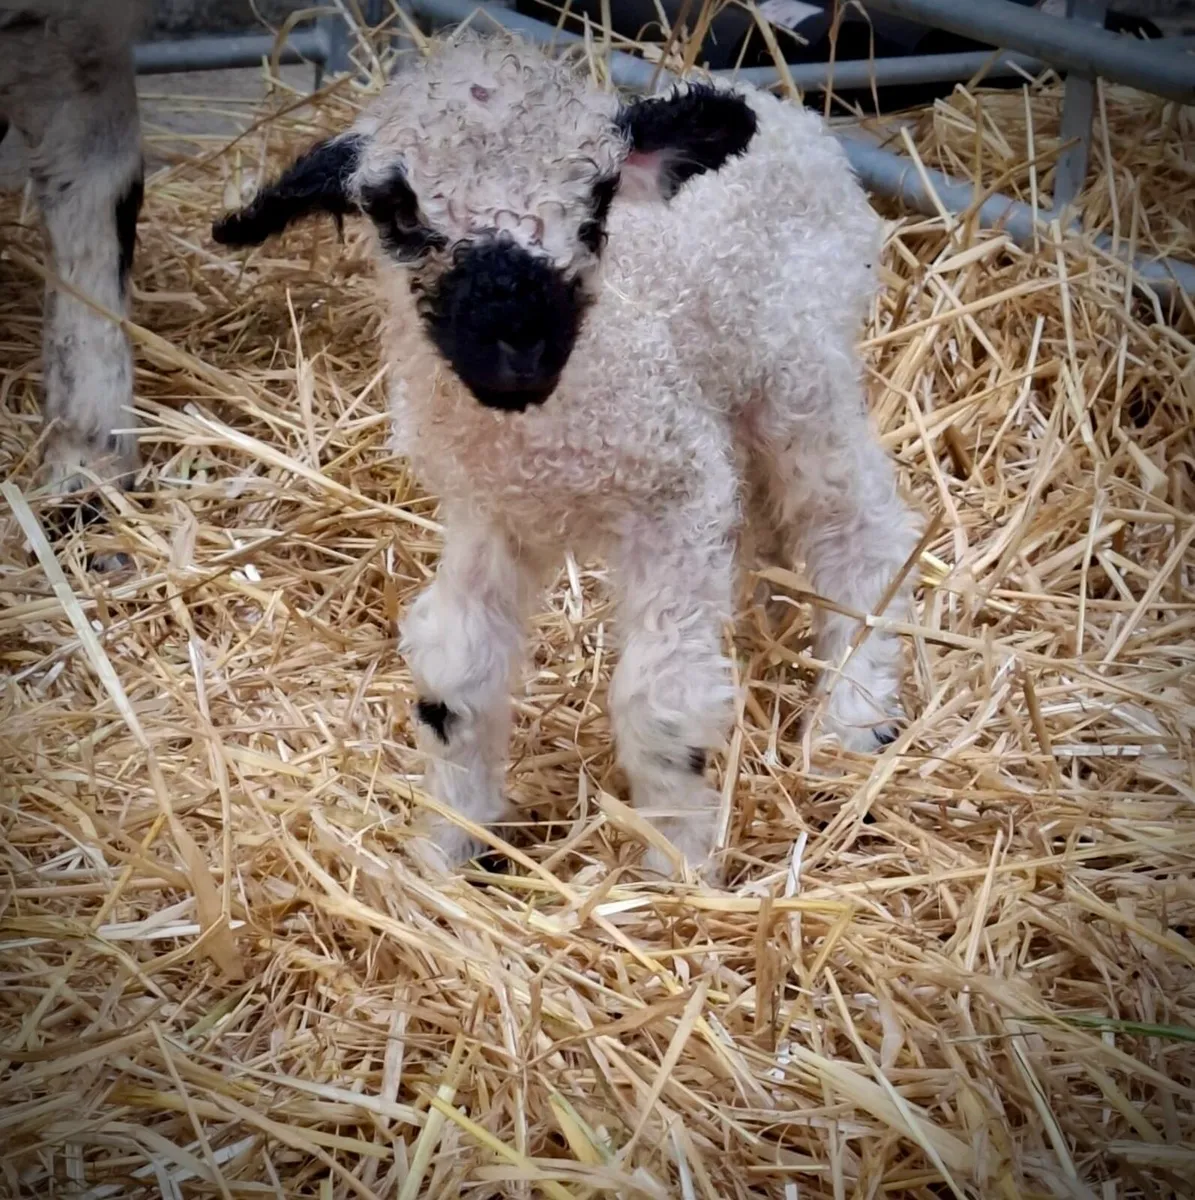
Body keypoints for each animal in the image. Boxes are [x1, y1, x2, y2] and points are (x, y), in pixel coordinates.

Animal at [211, 31, 922, 878]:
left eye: (599, 196)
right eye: (396, 207)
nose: (517, 340)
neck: (548, 439)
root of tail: (789, 113)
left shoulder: (675, 494)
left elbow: (661, 704)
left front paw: (678, 870)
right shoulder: (489, 513)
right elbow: (456, 680)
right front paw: (452, 849)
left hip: (798, 371)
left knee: (856, 525)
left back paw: (858, 713)